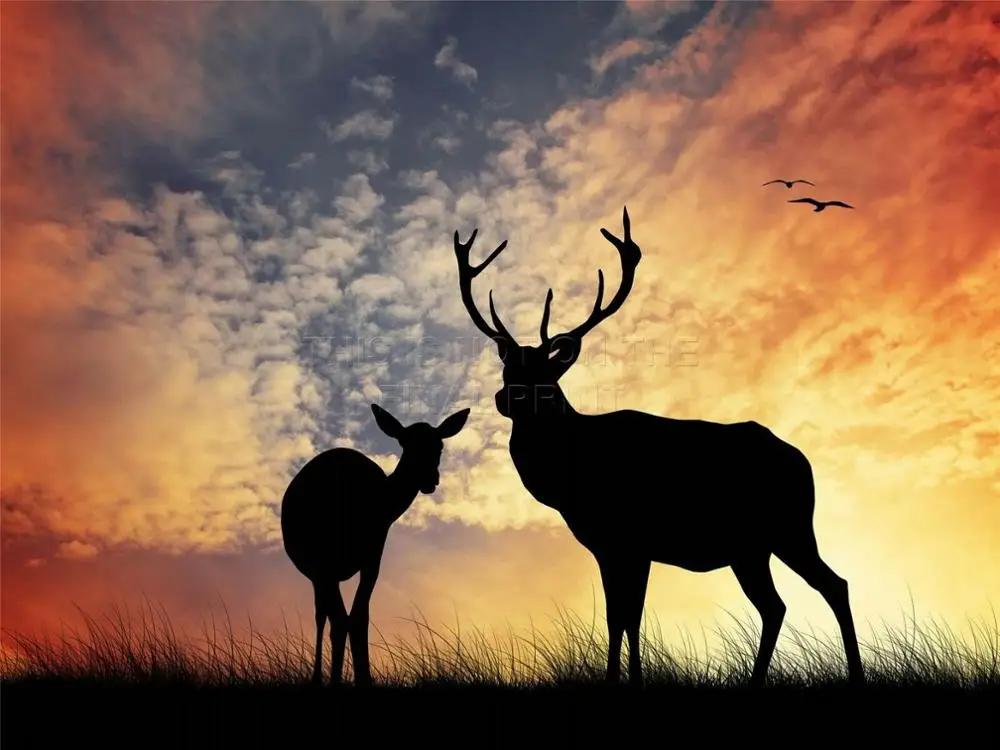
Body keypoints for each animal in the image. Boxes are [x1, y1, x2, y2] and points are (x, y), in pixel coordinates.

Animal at [281, 402, 470, 686]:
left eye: (439, 446)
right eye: (404, 443)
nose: (430, 479)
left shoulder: (374, 553)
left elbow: (359, 617)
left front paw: (364, 679)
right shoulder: (326, 563)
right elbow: (342, 619)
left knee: (331, 615)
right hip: (318, 567)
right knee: (326, 617)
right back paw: (319, 679)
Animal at [452, 207, 865, 687]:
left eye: (547, 376)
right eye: (508, 371)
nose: (504, 398)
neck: (572, 482)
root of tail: (804, 462)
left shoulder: (632, 538)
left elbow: (627, 616)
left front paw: (625, 680)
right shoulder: (610, 546)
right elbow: (622, 616)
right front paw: (623, 678)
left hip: (790, 526)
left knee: (832, 585)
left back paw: (855, 675)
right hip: (751, 548)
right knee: (778, 604)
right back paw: (758, 680)